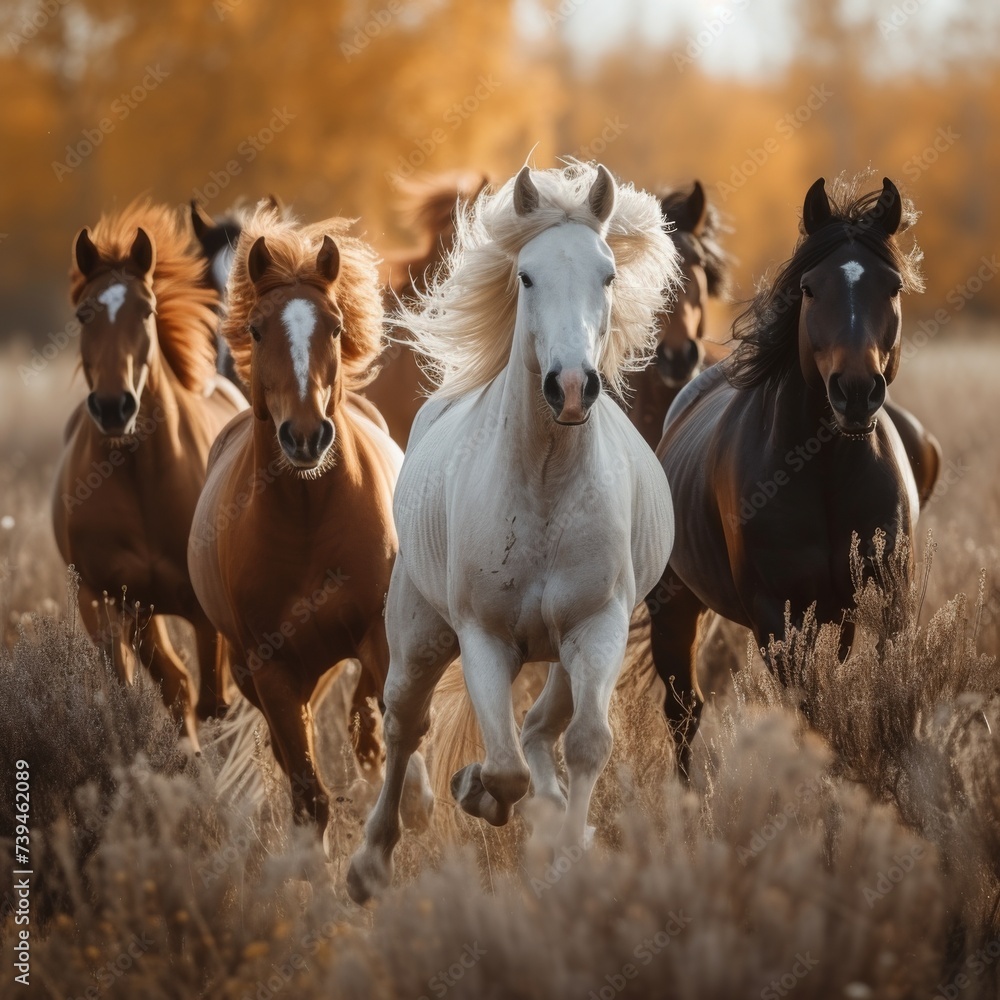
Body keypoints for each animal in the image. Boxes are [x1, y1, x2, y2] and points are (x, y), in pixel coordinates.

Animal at [52, 199, 247, 750]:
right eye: (84, 313)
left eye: (146, 310)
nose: (114, 406)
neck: (139, 476)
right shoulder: (100, 601)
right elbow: (137, 694)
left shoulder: (204, 612)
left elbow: (214, 700)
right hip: (139, 610)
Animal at [187, 202, 432, 837]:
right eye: (256, 329)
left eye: (337, 327)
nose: (304, 436)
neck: (307, 520)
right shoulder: (271, 671)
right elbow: (308, 796)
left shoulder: (378, 635)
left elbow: (391, 731)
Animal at [645, 175, 929, 777]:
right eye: (811, 288)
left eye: (892, 287)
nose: (855, 390)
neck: (823, 470)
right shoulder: (779, 617)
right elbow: (810, 718)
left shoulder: (888, 604)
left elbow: (884, 702)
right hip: (675, 604)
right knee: (683, 711)